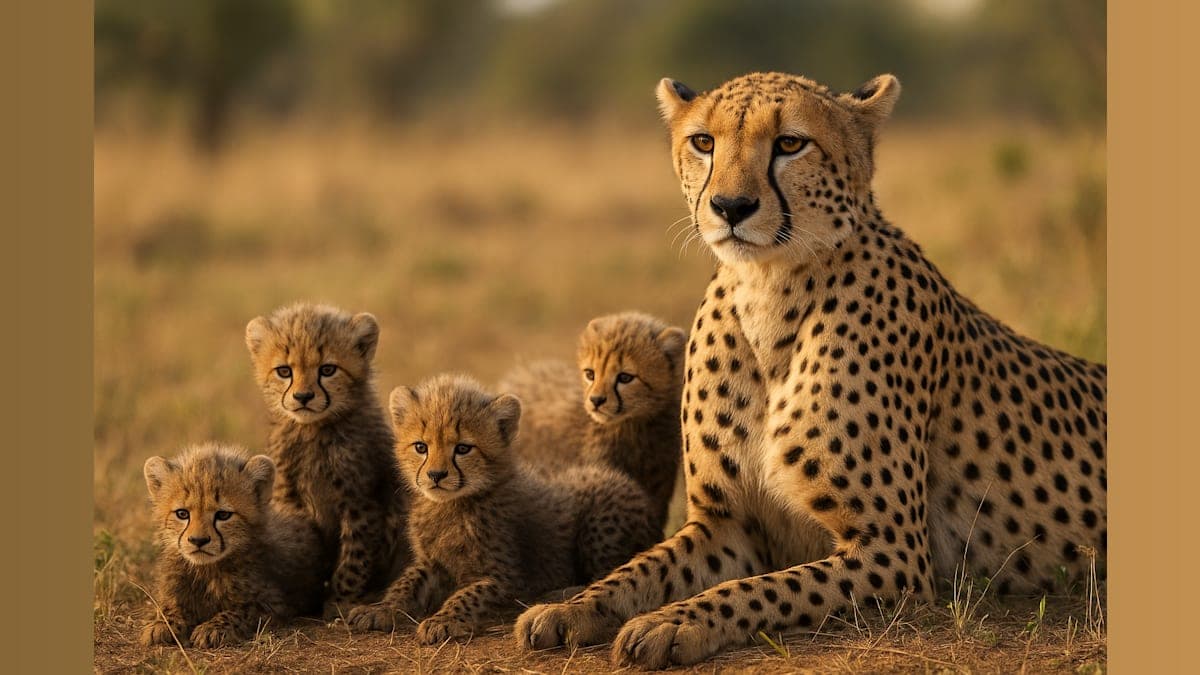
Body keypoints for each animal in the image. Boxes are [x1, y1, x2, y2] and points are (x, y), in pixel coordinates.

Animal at [140, 443, 324, 648]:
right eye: (182, 514)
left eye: (223, 515)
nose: (198, 541)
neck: (206, 570)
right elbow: (170, 605)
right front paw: (163, 623)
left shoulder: (274, 602)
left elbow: (241, 610)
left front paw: (213, 628)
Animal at [245, 302, 409, 618]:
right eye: (284, 371)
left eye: (328, 370)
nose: (303, 396)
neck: (314, 430)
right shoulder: (289, 498)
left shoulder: (361, 502)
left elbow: (354, 556)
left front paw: (341, 601)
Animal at [344, 374, 660, 643]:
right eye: (421, 447)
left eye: (463, 449)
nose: (435, 475)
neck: (452, 506)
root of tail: (629, 483)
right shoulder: (431, 563)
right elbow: (405, 582)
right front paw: (381, 608)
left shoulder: (506, 576)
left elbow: (469, 593)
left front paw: (443, 620)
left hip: (600, 521)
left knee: (606, 571)